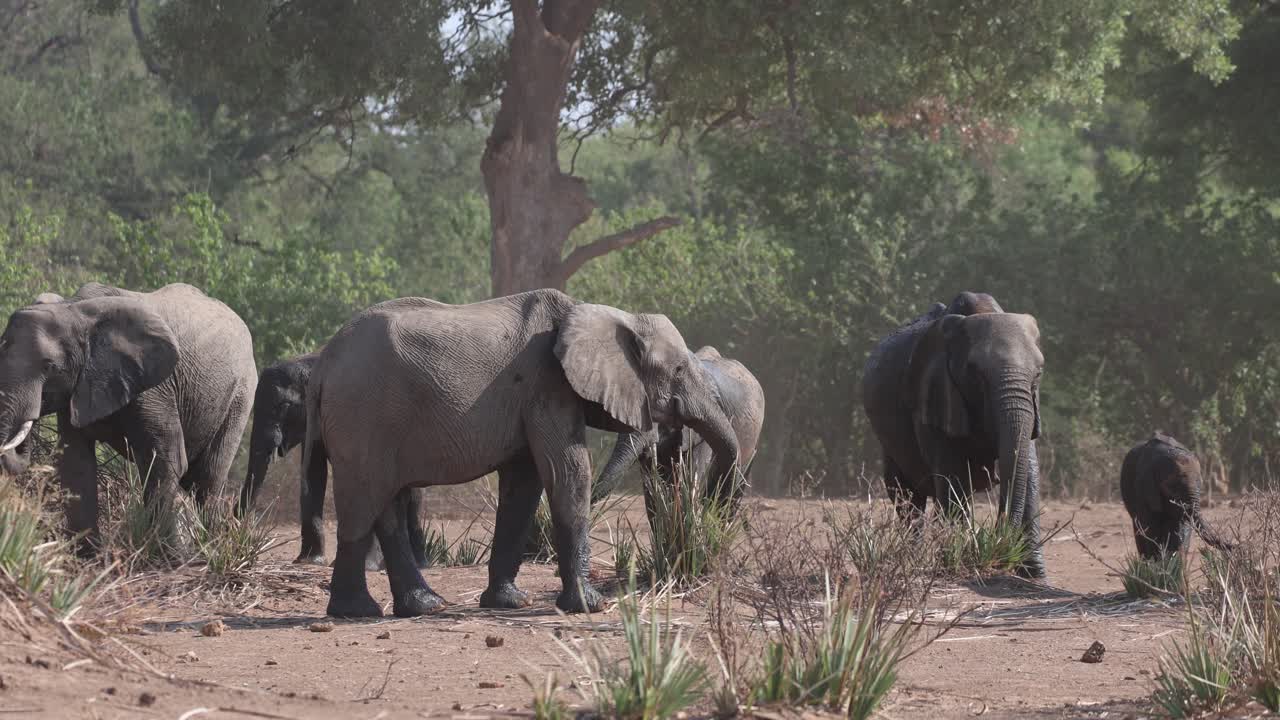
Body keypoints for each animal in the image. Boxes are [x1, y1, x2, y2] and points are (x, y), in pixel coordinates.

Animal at [0, 283, 257, 555]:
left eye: (50, 367)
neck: (73, 309)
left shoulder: (155, 388)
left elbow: (166, 460)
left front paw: (166, 554)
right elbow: (75, 462)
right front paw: (87, 556)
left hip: (240, 394)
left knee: (208, 475)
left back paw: (209, 548)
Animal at [305, 289, 740, 618]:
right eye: (679, 370)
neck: (604, 314)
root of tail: (324, 361)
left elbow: (524, 484)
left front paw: (511, 603)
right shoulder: (547, 384)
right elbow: (568, 472)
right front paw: (590, 607)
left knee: (385, 503)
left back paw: (423, 607)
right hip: (363, 415)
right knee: (364, 501)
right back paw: (357, 612)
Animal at [862, 292, 1046, 577]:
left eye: (1038, 373)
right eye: (976, 374)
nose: (998, 544)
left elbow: (1028, 470)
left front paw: (1035, 575)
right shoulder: (933, 393)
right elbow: (953, 477)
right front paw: (956, 561)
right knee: (907, 496)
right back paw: (912, 559)